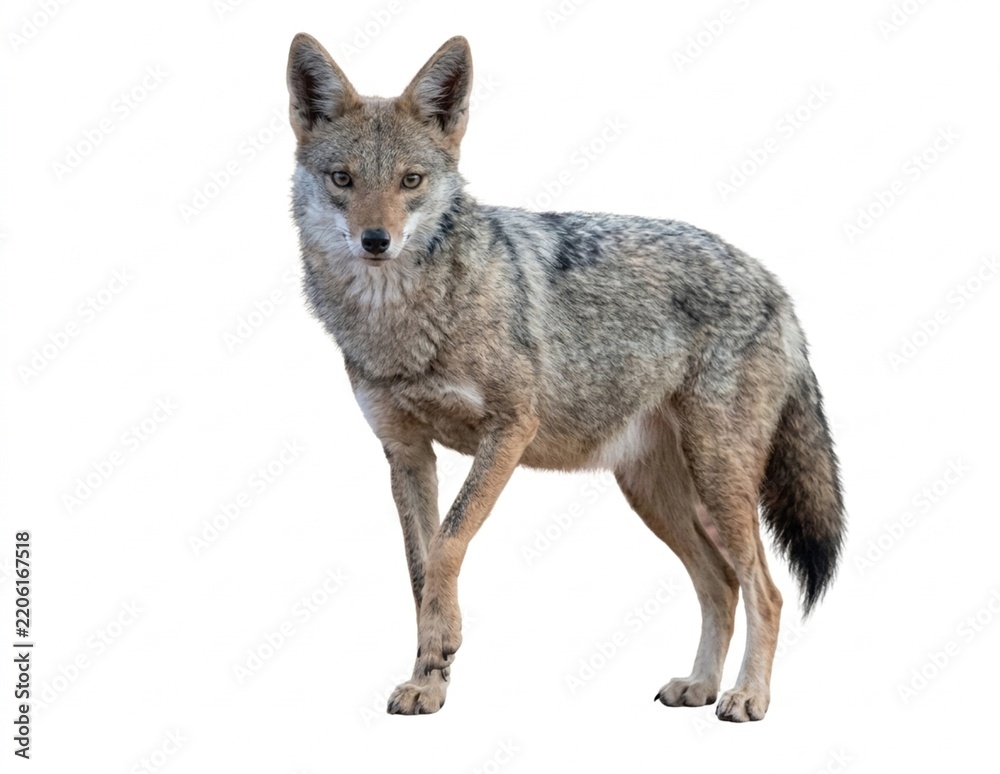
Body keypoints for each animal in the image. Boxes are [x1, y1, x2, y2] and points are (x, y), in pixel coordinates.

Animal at [286, 33, 845, 722]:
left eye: (410, 181)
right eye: (343, 179)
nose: (375, 240)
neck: (406, 324)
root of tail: (772, 280)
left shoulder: (509, 431)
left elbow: (447, 545)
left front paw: (442, 649)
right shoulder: (406, 452)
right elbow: (420, 571)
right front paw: (428, 680)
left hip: (719, 481)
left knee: (765, 590)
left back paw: (747, 697)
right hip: (656, 496)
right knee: (720, 586)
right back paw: (699, 685)